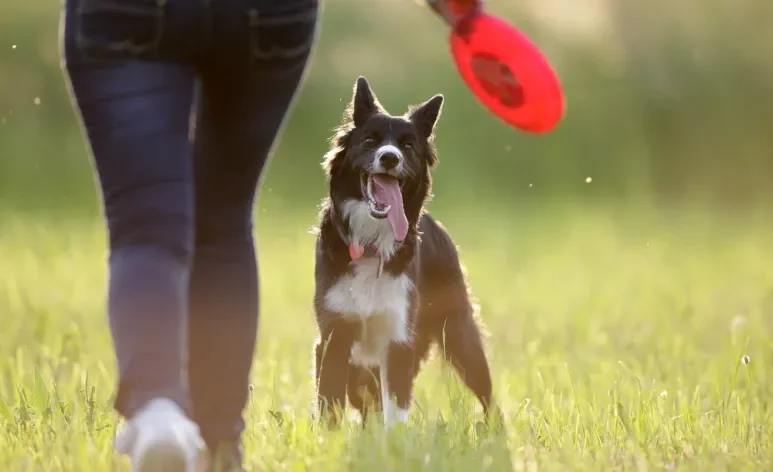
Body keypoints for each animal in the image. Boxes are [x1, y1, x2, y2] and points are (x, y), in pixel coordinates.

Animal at [312, 76, 498, 428]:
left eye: (408, 146)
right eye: (370, 140)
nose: (390, 158)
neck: (372, 245)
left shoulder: (399, 339)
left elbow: (394, 414)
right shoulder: (333, 336)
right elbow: (330, 408)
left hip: (459, 333)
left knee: (486, 392)